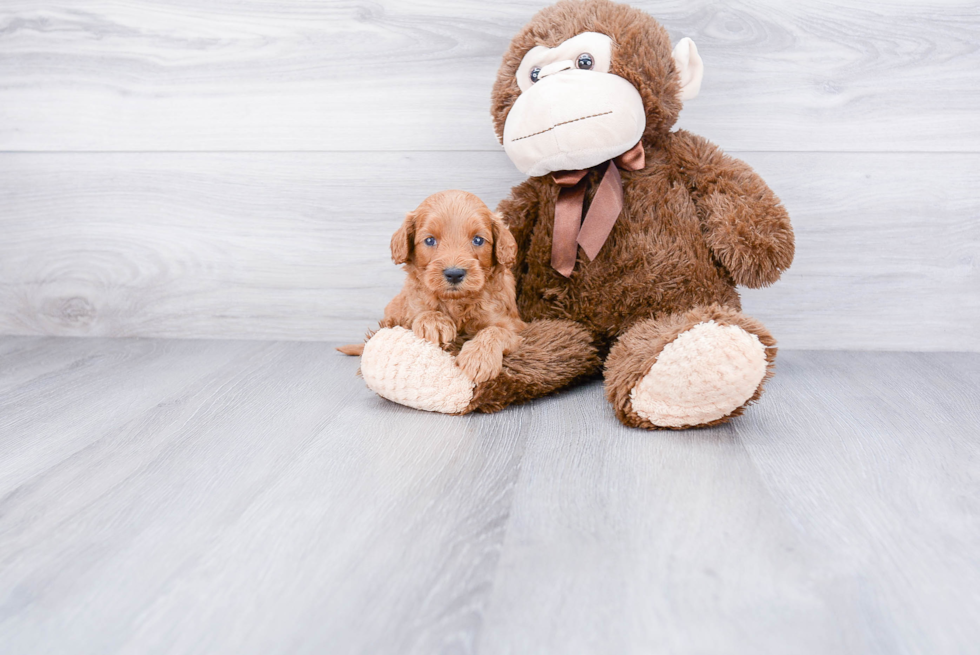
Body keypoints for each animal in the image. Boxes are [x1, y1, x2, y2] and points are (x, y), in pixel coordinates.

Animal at [336, 190, 524, 384]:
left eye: (478, 240)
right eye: (430, 240)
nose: (454, 274)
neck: (456, 302)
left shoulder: (514, 326)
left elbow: (496, 330)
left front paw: (479, 358)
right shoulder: (410, 308)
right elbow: (421, 310)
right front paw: (434, 323)